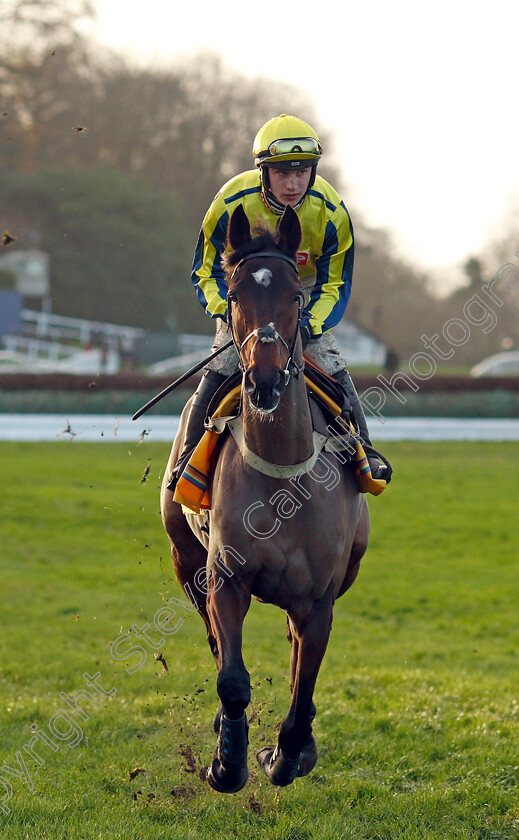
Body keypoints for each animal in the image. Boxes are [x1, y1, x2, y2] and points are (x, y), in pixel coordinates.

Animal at [160, 203, 372, 796]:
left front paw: (287, 755)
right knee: (214, 641)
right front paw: (228, 762)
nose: (266, 381)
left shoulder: (320, 599)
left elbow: (303, 690)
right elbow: (232, 677)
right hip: (185, 559)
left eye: (296, 296)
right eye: (234, 294)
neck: (283, 478)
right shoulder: (225, 578)